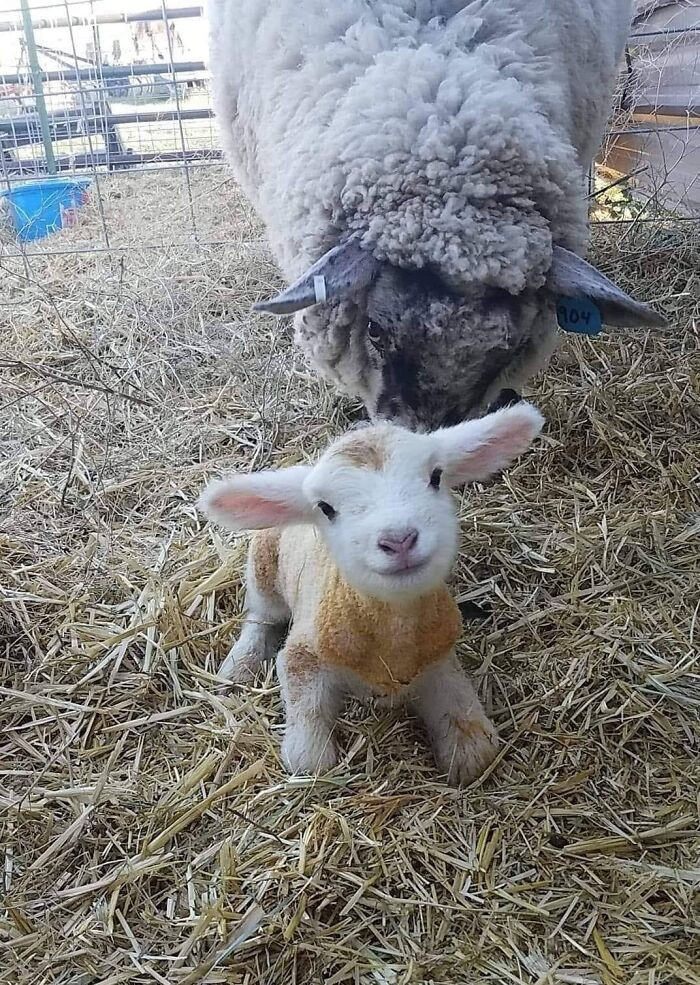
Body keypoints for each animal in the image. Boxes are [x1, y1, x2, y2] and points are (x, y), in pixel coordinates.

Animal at [200, 400, 544, 784]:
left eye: (436, 476)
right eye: (325, 507)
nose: (399, 540)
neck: (392, 636)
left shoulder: (438, 658)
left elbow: (475, 743)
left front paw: (465, 751)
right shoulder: (304, 655)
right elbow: (309, 757)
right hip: (263, 564)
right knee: (261, 616)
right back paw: (240, 665)